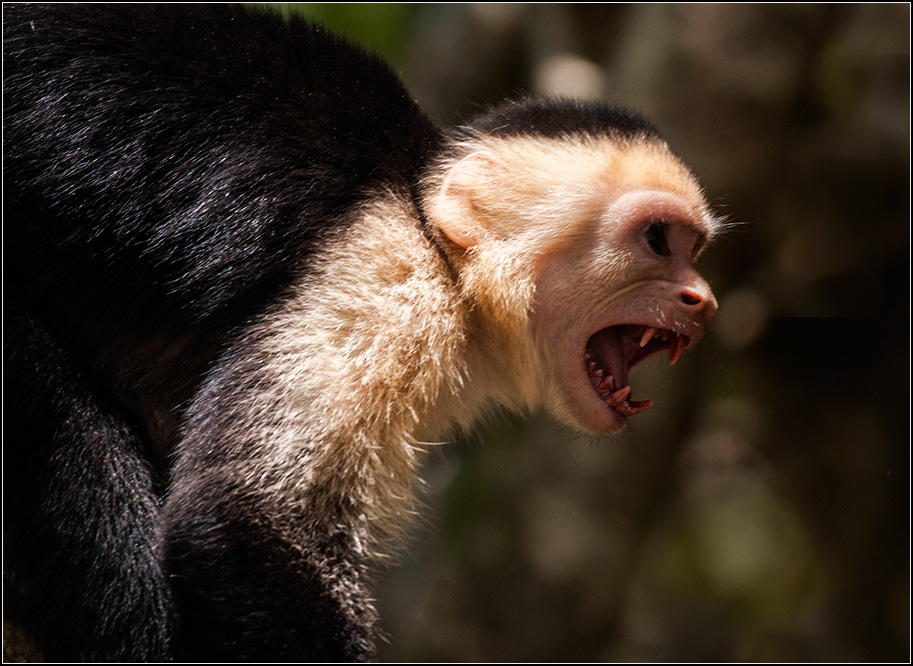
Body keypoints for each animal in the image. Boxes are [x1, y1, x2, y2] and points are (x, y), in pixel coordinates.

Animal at [5, 3, 720, 660]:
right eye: (657, 240)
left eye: (695, 250)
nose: (704, 301)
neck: (442, 249)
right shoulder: (387, 275)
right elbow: (246, 515)